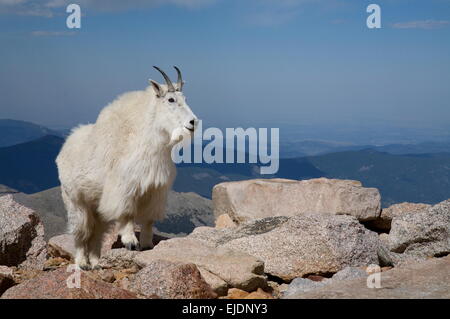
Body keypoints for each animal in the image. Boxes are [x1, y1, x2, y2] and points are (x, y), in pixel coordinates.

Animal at [55, 67, 197, 270]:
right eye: (171, 99)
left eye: (185, 98)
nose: (193, 122)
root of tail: (65, 146)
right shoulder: (124, 188)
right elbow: (127, 214)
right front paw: (130, 242)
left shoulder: (155, 190)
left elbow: (148, 219)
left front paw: (147, 244)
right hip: (75, 200)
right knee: (82, 231)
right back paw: (82, 262)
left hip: (96, 204)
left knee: (97, 232)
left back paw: (96, 262)